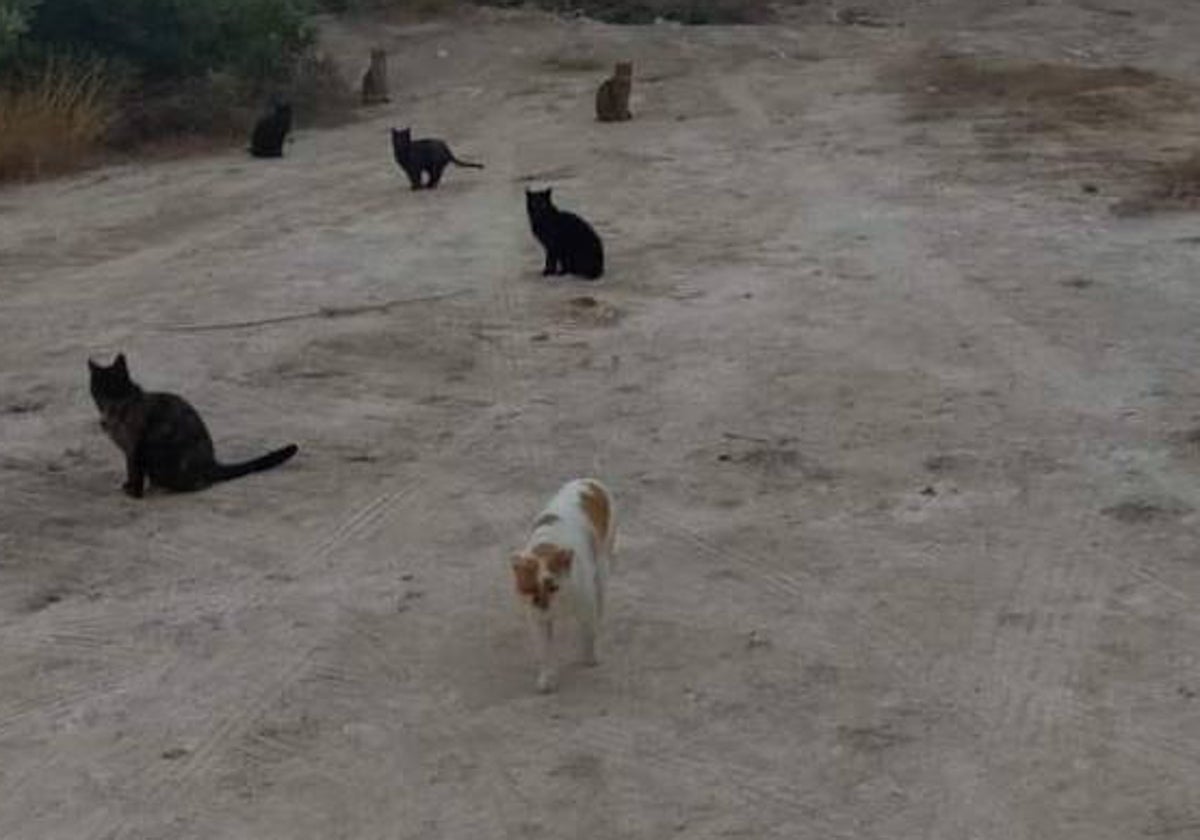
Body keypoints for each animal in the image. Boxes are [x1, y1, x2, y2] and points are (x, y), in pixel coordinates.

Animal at [87, 350, 297, 494]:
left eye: (114, 385)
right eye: (99, 388)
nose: (107, 398)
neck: (116, 412)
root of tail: (212, 463)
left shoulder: (135, 448)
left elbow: (134, 472)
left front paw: (134, 493)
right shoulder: (128, 451)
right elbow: (131, 471)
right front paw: (129, 486)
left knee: (197, 484)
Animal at [508, 475, 619, 691]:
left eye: (553, 587)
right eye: (531, 590)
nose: (543, 605)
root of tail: (589, 481)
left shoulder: (586, 605)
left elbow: (589, 634)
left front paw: (591, 659)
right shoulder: (537, 621)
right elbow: (544, 652)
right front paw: (547, 679)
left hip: (602, 565)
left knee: (600, 602)